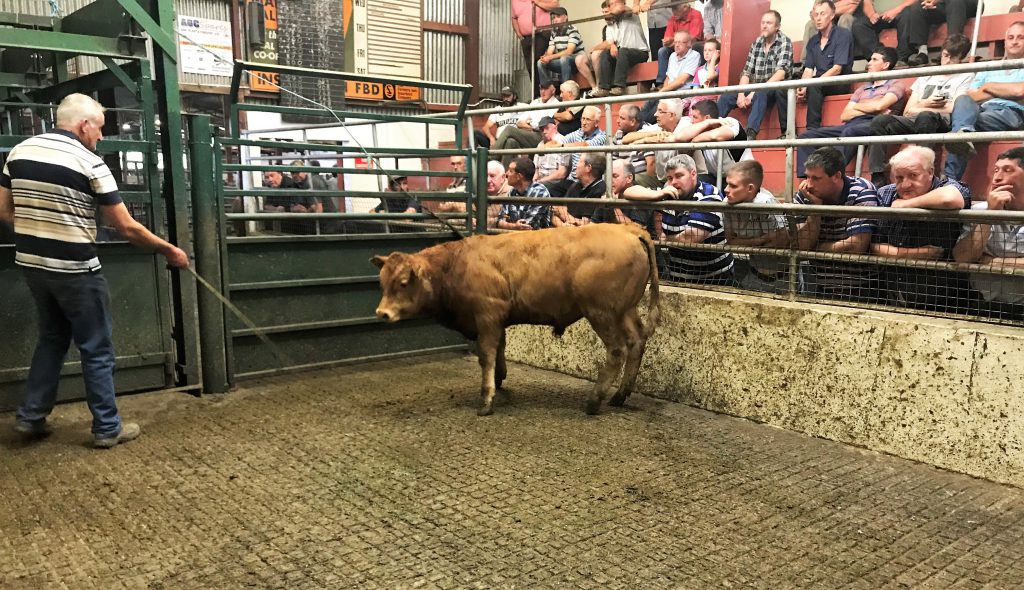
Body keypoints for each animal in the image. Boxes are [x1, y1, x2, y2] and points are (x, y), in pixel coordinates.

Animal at [371, 223, 660, 416]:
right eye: (382, 282)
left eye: (403, 282)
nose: (382, 313)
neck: (457, 264)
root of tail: (630, 229)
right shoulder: (497, 319)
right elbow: (500, 348)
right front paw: (499, 379)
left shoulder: (487, 315)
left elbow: (486, 354)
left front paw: (486, 399)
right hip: (626, 311)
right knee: (636, 342)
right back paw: (620, 395)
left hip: (601, 313)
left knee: (617, 350)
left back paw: (594, 401)